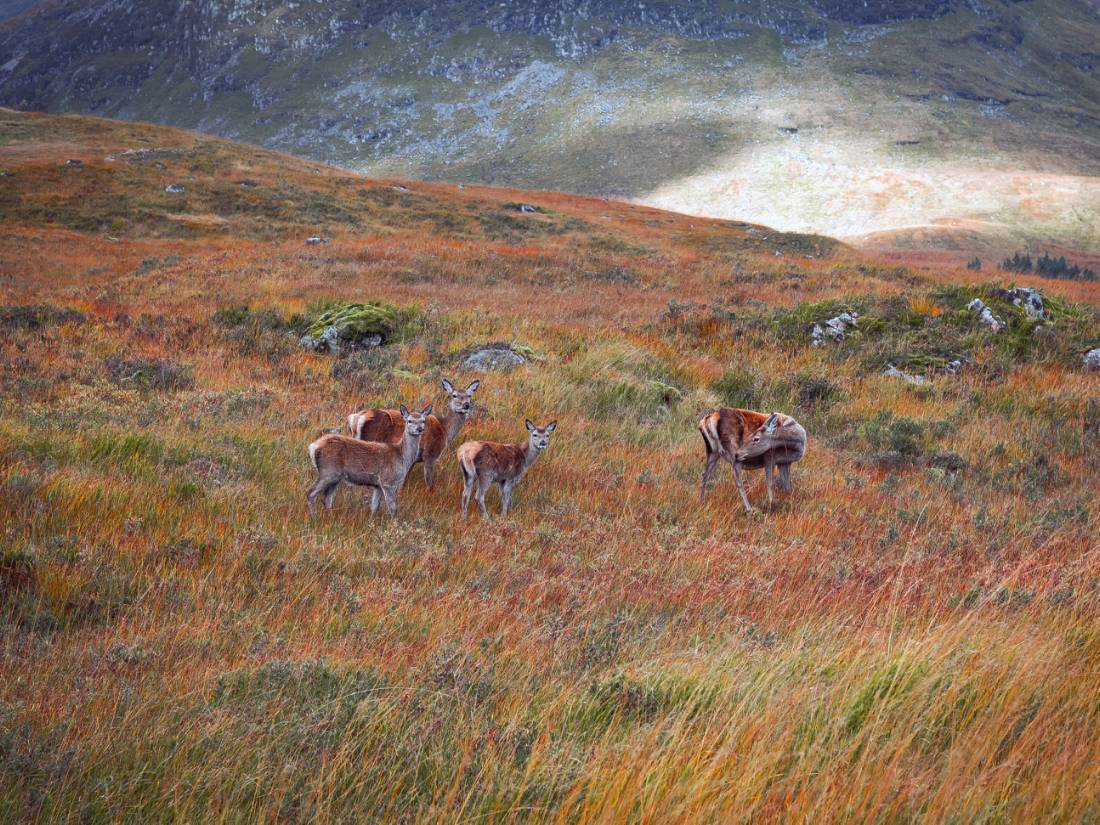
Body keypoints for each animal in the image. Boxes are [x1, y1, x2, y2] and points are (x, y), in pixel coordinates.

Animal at [345, 380, 479, 490]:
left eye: (469, 395)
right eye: (454, 395)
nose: (466, 405)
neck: (444, 430)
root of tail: (356, 418)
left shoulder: (413, 460)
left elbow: (405, 479)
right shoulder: (430, 454)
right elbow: (429, 483)